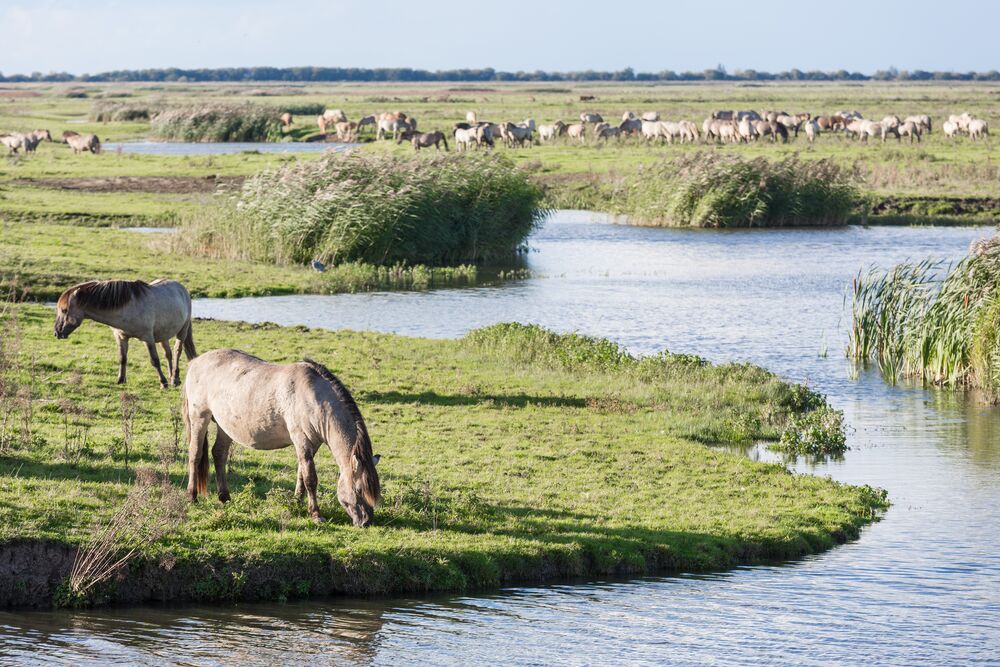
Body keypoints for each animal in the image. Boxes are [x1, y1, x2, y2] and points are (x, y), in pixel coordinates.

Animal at [54, 279, 197, 388]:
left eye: (64, 310)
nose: (57, 332)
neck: (127, 308)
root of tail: (181, 287)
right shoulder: (121, 338)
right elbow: (122, 358)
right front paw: (120, 380)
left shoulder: (148, 338)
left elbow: (154, 360)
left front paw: (163, 383)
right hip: (163, 335)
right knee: (168, 354)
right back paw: (171, 375)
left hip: (182, 331)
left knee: (177, 351)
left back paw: (174, 379)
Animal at [182, 350, 382, 527]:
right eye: (358, 489)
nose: (366, 521)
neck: (314, 397)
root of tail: (195, 362)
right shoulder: (301, 440)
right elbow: (310, 478)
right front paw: (316, 514)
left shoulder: (312, 444)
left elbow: (301, 473)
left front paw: (297, 502)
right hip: (199, 418)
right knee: (195, 455)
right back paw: (192, 496)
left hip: (225, 426)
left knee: (219, 454)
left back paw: (225, 498)